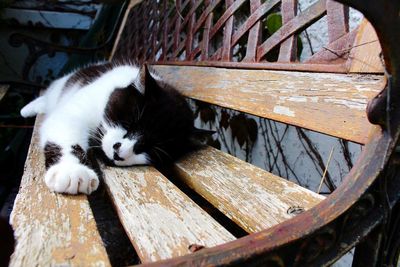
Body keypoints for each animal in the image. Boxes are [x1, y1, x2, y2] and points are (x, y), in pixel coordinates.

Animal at [20, 61, 205, 196]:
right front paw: (72, 171)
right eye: (128, 124)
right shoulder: (77, 107)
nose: (119, 153)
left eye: (151, 150)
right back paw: (28, 108)